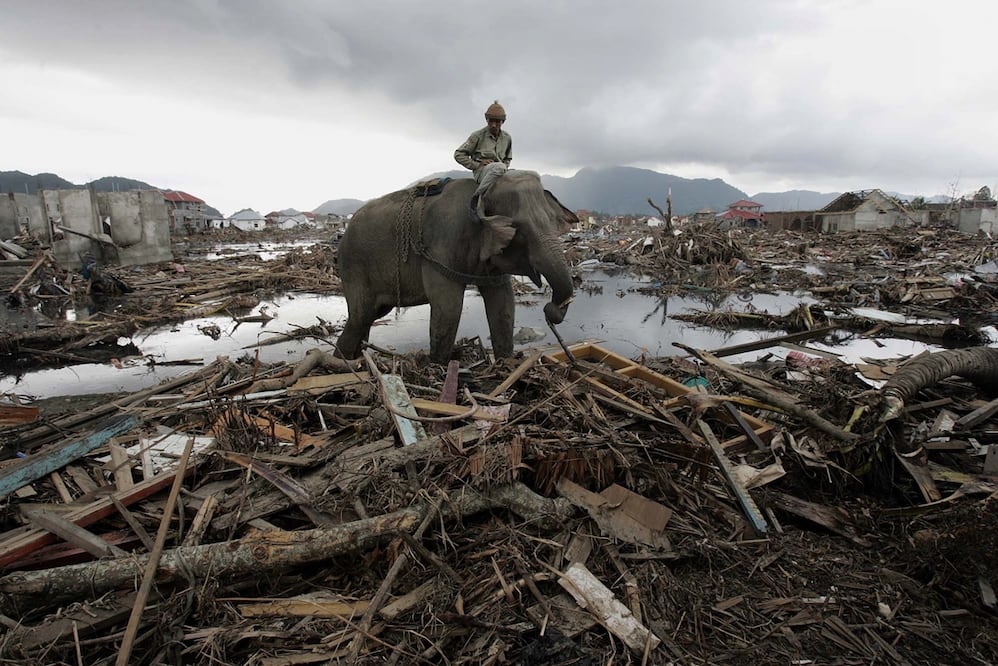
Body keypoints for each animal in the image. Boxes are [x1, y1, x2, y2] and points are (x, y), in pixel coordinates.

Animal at [336, 170, 577, 362]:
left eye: (554, 222)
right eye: (519, 229)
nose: (550, 310)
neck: (479, 195)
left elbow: (504, 304)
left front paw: (506, 364)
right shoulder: (442, 243)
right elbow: (449, 306)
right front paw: (438, 367)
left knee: (369, 317)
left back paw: (354, 358)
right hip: (355, 266)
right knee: (361, 316)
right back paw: (344, 362)